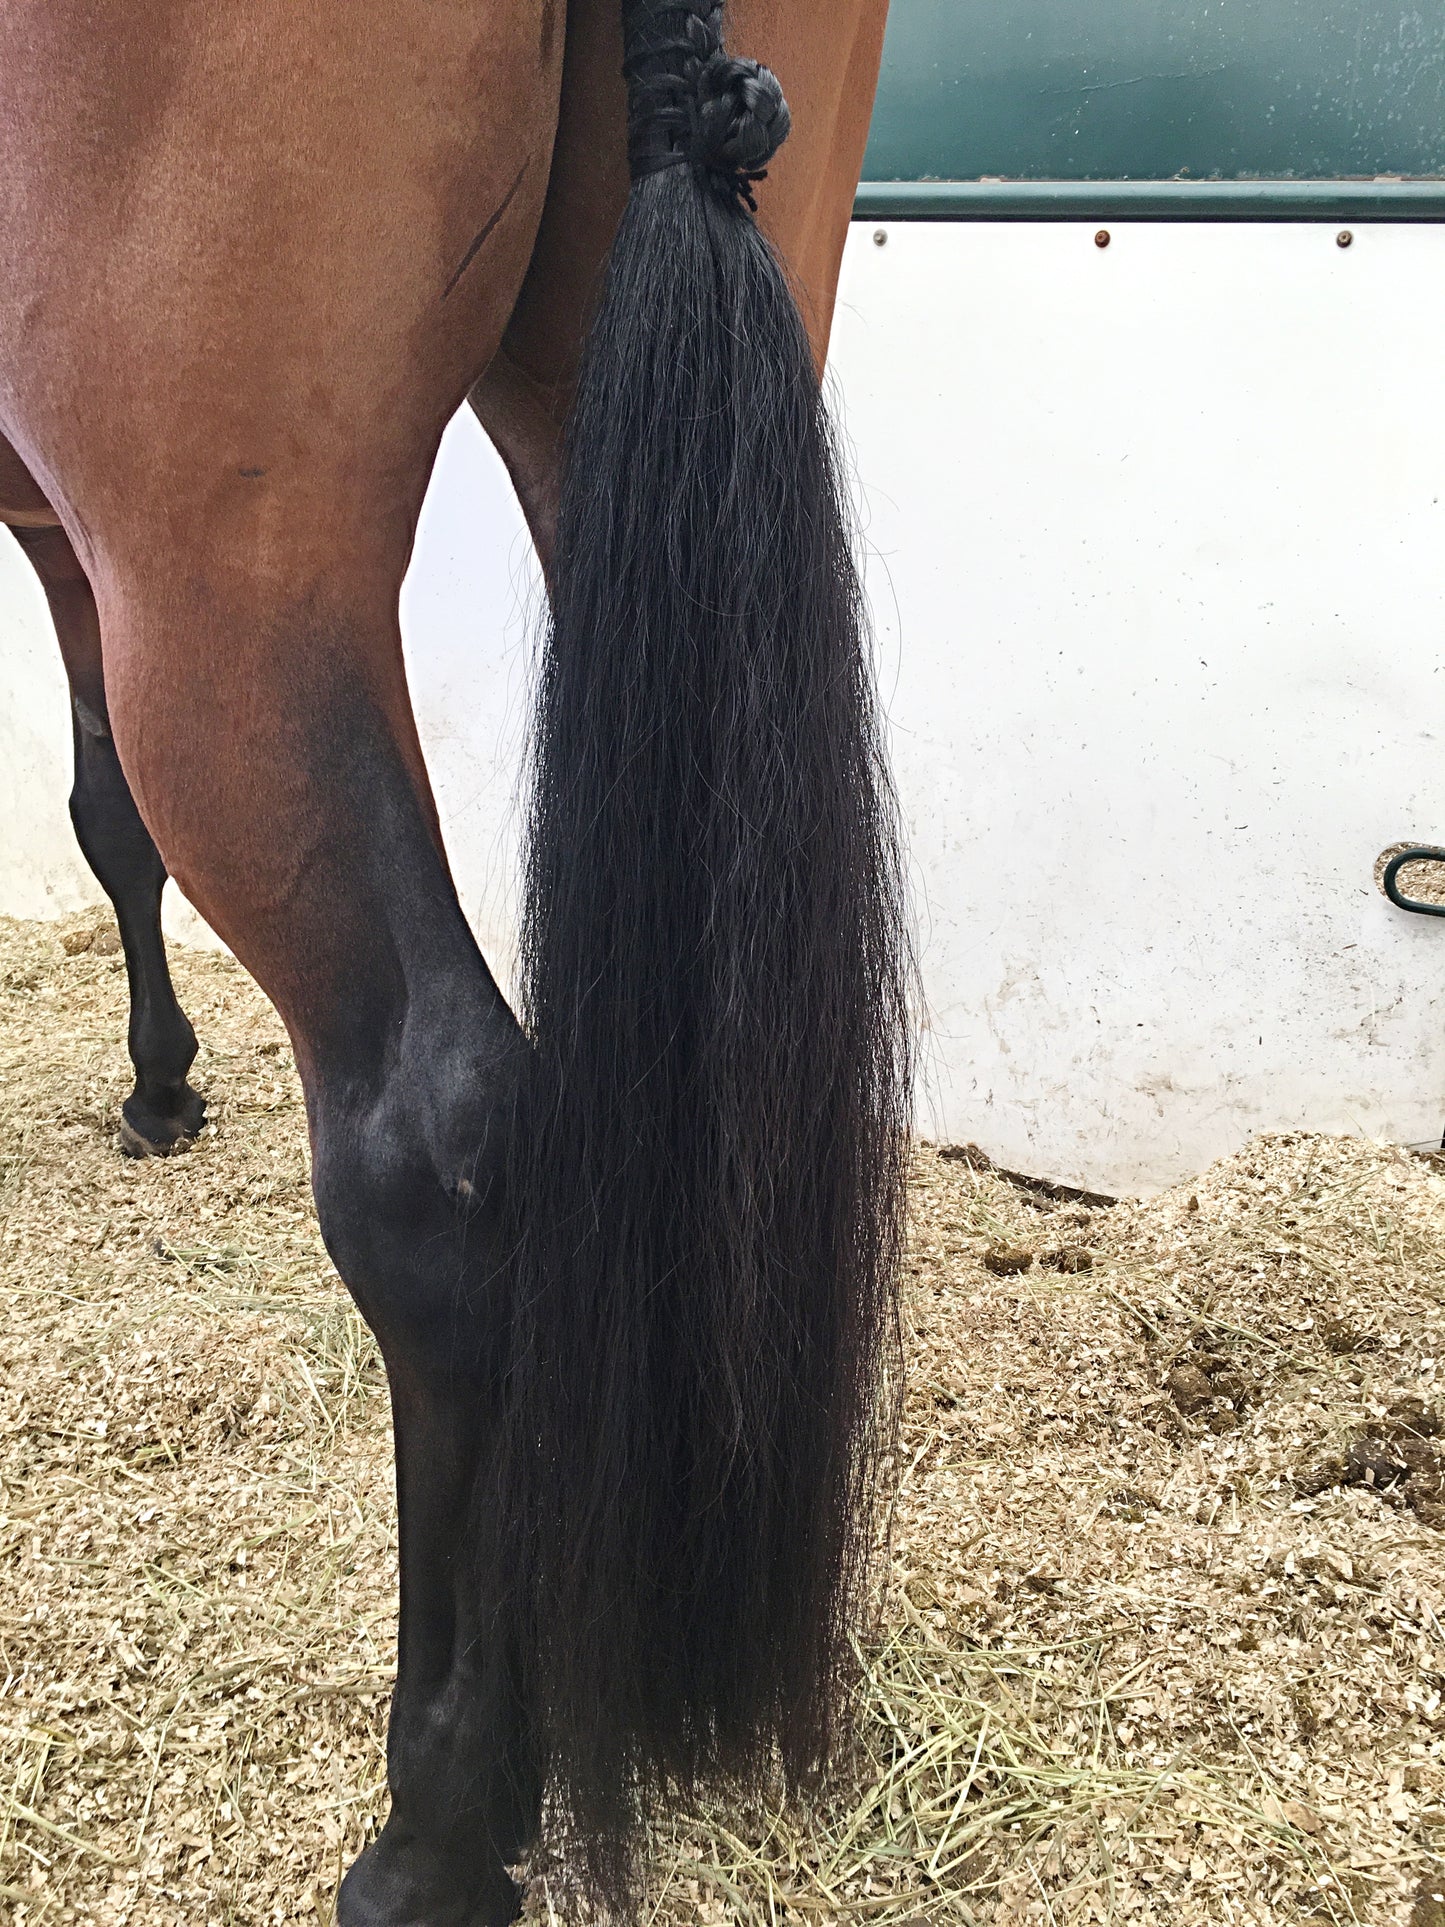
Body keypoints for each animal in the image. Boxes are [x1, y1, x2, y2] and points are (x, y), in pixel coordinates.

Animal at [0, 0, 911, 1918]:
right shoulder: (50, 528)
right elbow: (102, 813)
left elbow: (106, 811)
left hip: (229, 580)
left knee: (436, 1143)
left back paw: (442, 1815)